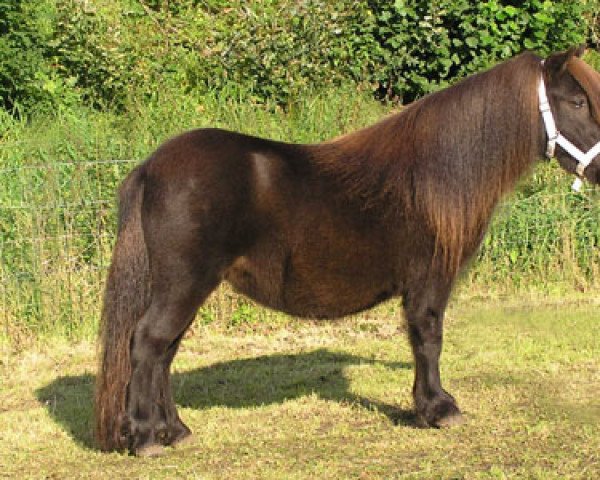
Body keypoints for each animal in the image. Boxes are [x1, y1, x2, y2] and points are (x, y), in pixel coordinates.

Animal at [94, 47, 600, 456]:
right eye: (577, 102)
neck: (434, 173)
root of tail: (150, 167)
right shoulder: (430, 279)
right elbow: (429, 338)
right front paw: (439, 408)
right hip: (183, 285)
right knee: (148, 344)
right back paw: (145, 438)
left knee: (164, 351)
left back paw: (175, 431)